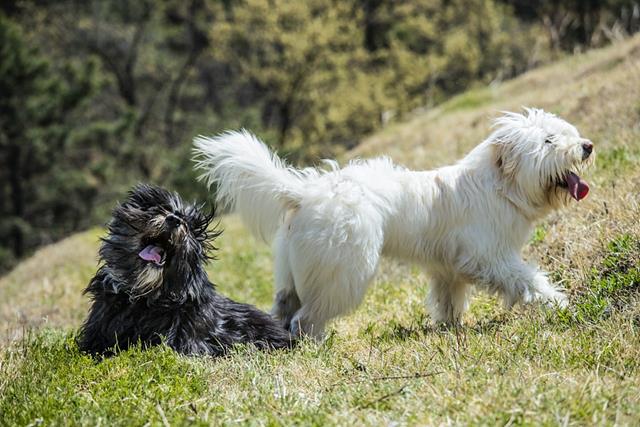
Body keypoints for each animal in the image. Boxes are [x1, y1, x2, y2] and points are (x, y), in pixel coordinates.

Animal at [192, 108, 592, 340]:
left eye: (563, 132)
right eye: (549, 140)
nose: (586, 146)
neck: (500, 186)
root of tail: (306, 191)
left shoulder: (448, 268)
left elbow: (448, 299)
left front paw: (449, 329)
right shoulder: (491, 258)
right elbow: (527, 280)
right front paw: (558, 304)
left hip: (292, 269)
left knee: (284, 307)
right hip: (343, 274)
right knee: (306, 318)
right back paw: (317, 345)